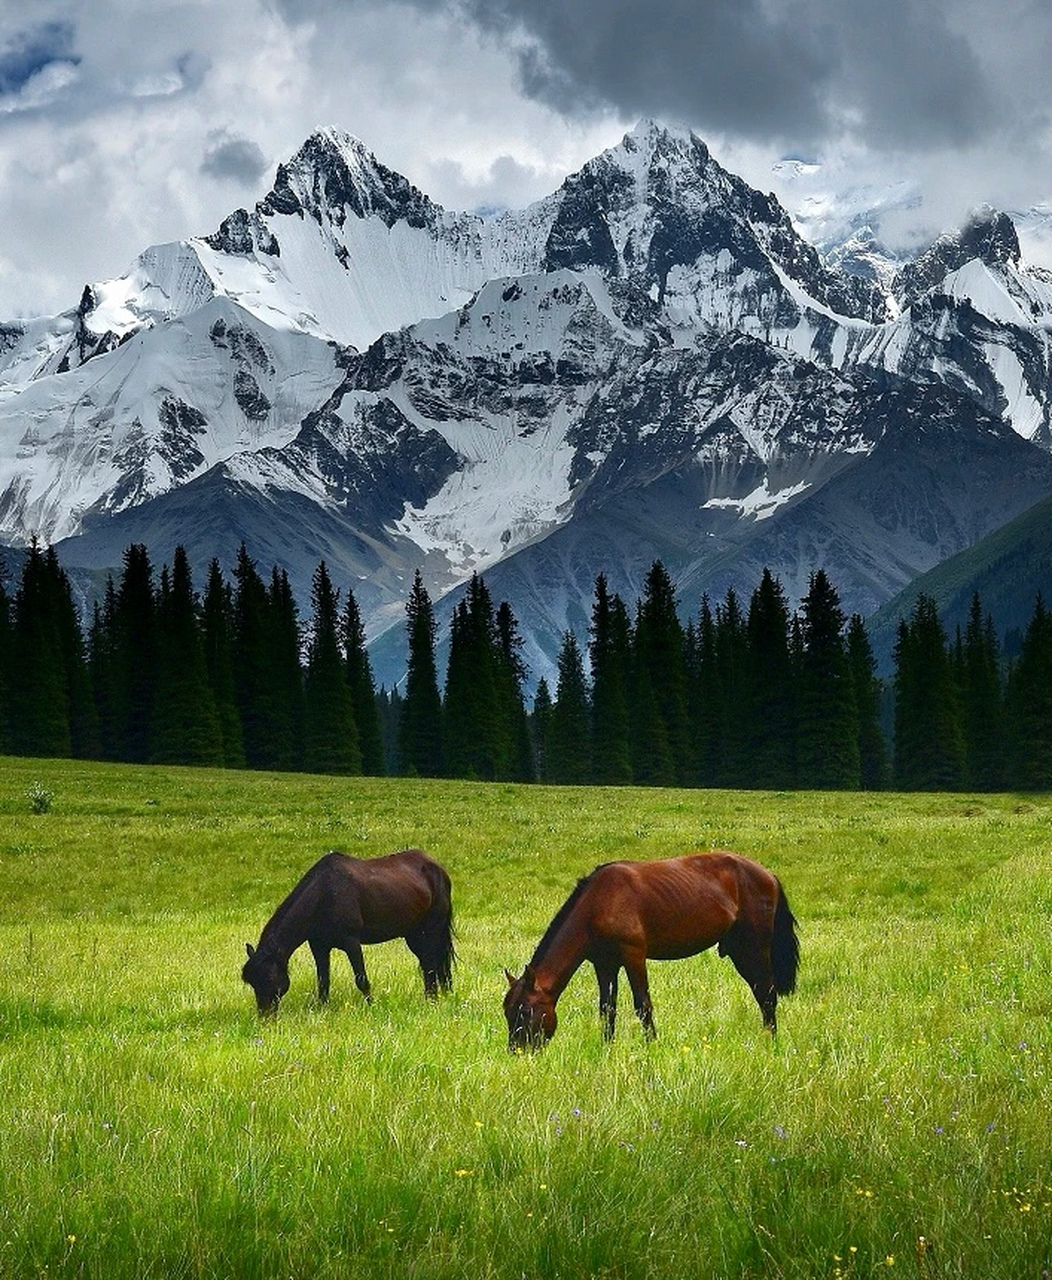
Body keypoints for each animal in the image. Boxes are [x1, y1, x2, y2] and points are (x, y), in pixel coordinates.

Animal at [243, 849, 458, 1018]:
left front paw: (371, 1007)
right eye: (252, 982)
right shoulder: (318, 946)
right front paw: (322, 1009)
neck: (324, 894)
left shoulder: (351, 942)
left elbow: (361, 979)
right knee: (429, 963)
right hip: (413, 934)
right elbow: (323, 981)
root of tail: (437, 868)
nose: (265, 1017)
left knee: (432, 963)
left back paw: (432, 1000)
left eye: (269, 978)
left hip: (432, 929)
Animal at [501, 849, 798, 1049]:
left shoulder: (633, 955)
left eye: (525, 1011)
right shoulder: (604, 963)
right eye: (507, 1011)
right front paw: (606, 1047)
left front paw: (651, 1047)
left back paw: (770, 1041)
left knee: (766, 993)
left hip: (754, 947)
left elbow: (642, 1005)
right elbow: (607, 1008)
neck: (598, 903)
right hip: (739, 950)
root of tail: (769, 875)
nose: (517, 1051)